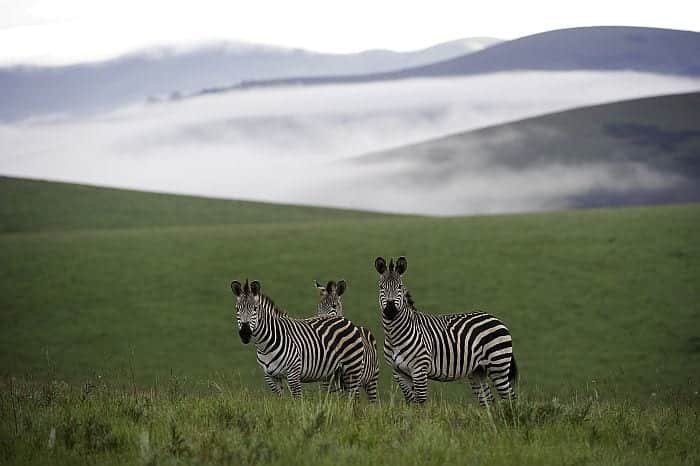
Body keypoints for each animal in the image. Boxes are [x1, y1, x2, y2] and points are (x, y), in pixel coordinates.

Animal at [230, 279, 365, 398]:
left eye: (255, 309)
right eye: (237, 309)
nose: (245, 333)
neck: (264, 345)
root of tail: (342, 318)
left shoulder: (293, 374)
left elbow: (297, 402)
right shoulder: (270, 377)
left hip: (352, 368)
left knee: (353, 398)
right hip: (336, 373)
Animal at [374, 256, 518, 405]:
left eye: (400, 287)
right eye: (381, 287)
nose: (390, 310)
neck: (394, 336)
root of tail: (495, 318)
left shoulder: (419, 370)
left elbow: (420, 402)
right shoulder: (398, 373)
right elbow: (410, 402)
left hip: (498, 366)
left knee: (510, 398)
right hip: (477, 371)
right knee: (488, 401)